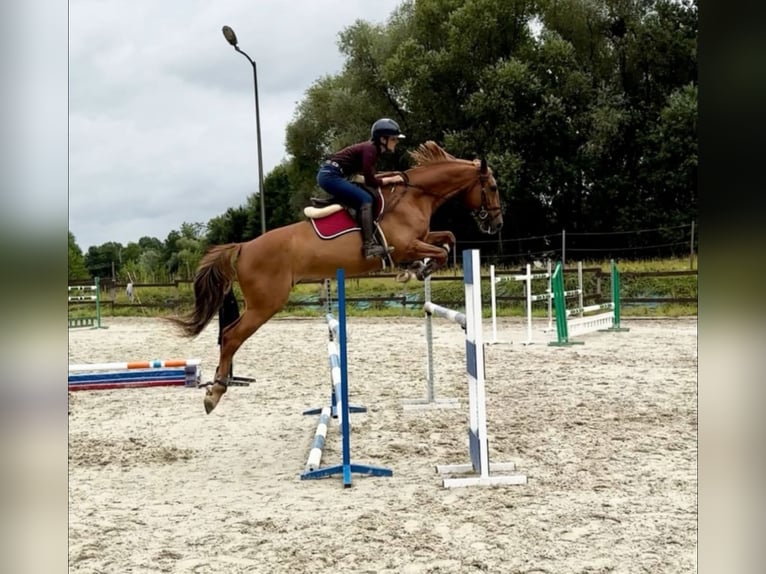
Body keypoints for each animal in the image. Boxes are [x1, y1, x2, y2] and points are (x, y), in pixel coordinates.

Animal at [170, 142, 504, 416]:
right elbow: (439, 250)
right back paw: (215, 392)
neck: (415, 194)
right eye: (492, 186)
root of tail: (243, 247)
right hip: (266, 303)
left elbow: (448, 239)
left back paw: (217, 386)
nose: (497, 224)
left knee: (228, 335)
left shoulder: (421, 238)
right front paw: (415, 270)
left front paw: (419, 268)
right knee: (231, 336)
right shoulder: (406, 244)